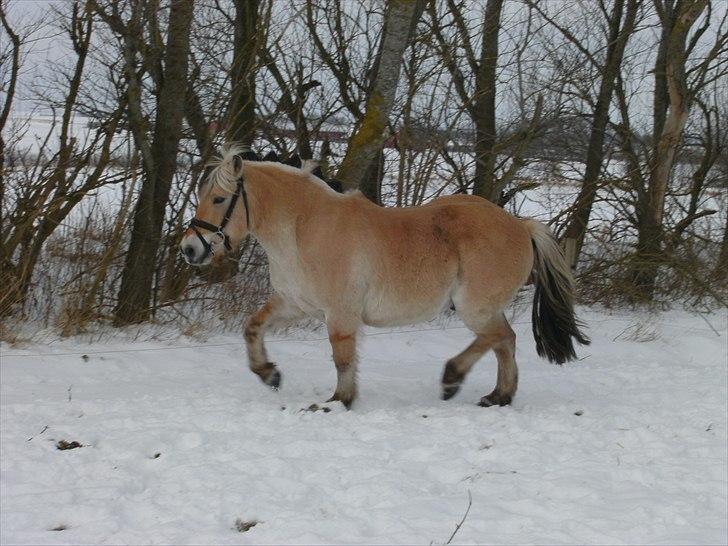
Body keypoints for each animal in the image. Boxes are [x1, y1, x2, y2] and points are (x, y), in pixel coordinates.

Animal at [179, 144, 588, 408]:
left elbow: (343, 357)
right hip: (483, 307)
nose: (190, 249)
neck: (304, 227)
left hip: (475, 306)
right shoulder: (295, 303)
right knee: (505, 341)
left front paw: (339, 400)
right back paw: (498, 396)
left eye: (219, 199)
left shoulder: (340, 312)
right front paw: (268, 374)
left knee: (498, 337)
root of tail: (520, 225)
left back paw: (453, 379)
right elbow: (253, 326)